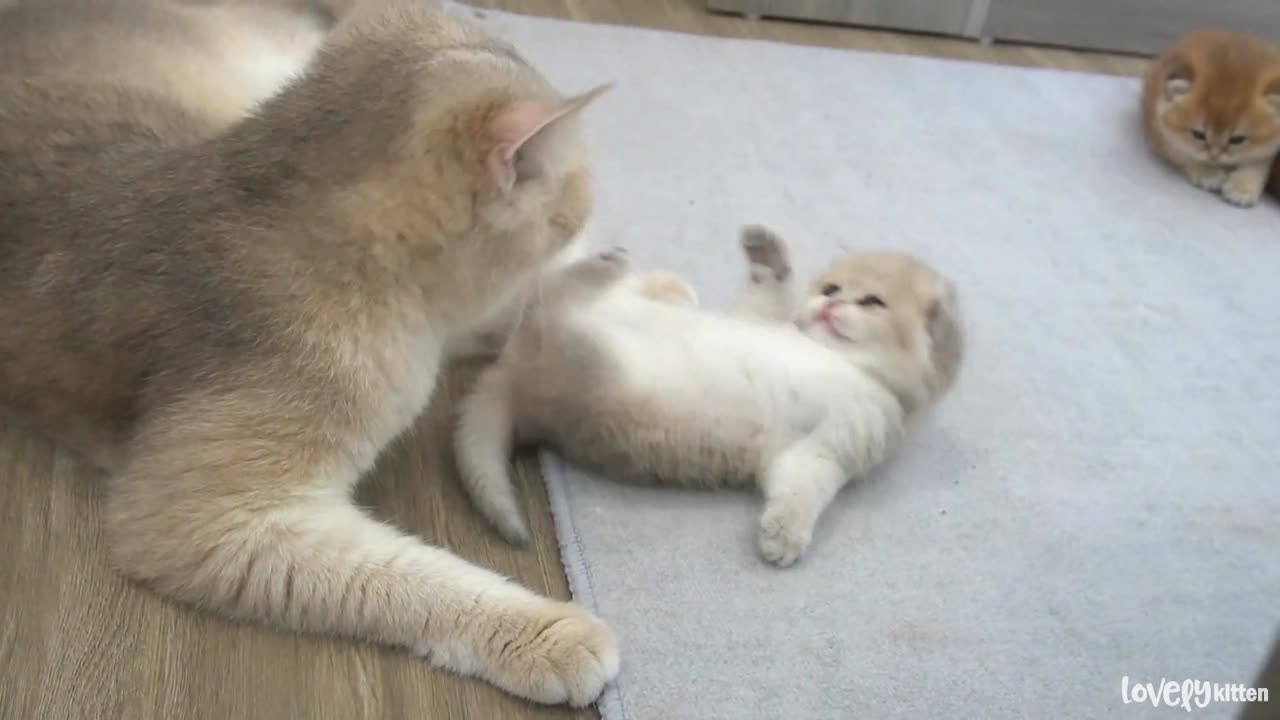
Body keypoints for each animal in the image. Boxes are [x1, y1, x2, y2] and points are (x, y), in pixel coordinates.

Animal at [455, 226, 962, 563]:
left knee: (548, 303)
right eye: (831, 287)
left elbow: (802, 484)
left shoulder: (833, 443)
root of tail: (512, 377)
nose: (829, 303)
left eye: (872, 302)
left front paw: (784, 533)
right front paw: (766, 252)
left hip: (590, 363)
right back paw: (624, 271)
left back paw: (607, 267)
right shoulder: (760, 318)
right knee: (548, 296)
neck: (845, 362)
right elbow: (770, 294)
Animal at [1146, 28, 1280, 204]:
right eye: (1198, 135)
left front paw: (1242, 187)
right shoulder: (1163, 136)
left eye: (1237, 140)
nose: (1214, 156)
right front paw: (1208, 173)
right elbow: (1187, 155)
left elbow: (1256, 165)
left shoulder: (1269, 148)